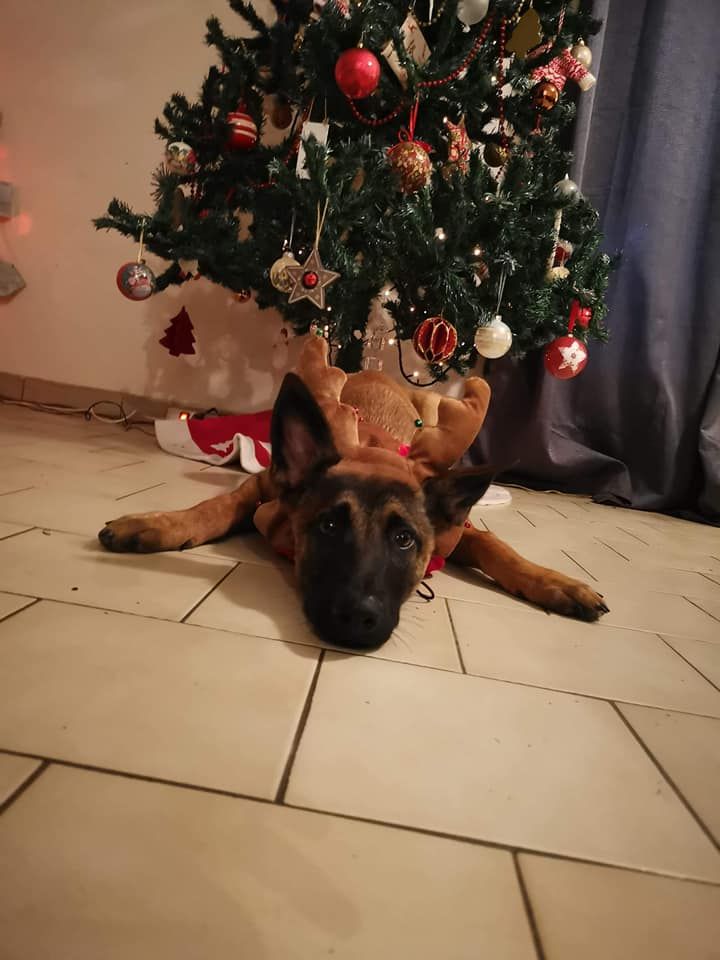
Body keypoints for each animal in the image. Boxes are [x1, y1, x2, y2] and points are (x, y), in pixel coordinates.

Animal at [99, 338, 608, 649]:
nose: (358, 619)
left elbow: (498, 548)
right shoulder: (263, 487)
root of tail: (375, 372)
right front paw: (159, 524)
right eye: (328, 525)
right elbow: (216, 506)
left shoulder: (459, 529)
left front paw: (556, 582)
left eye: (404, 540)